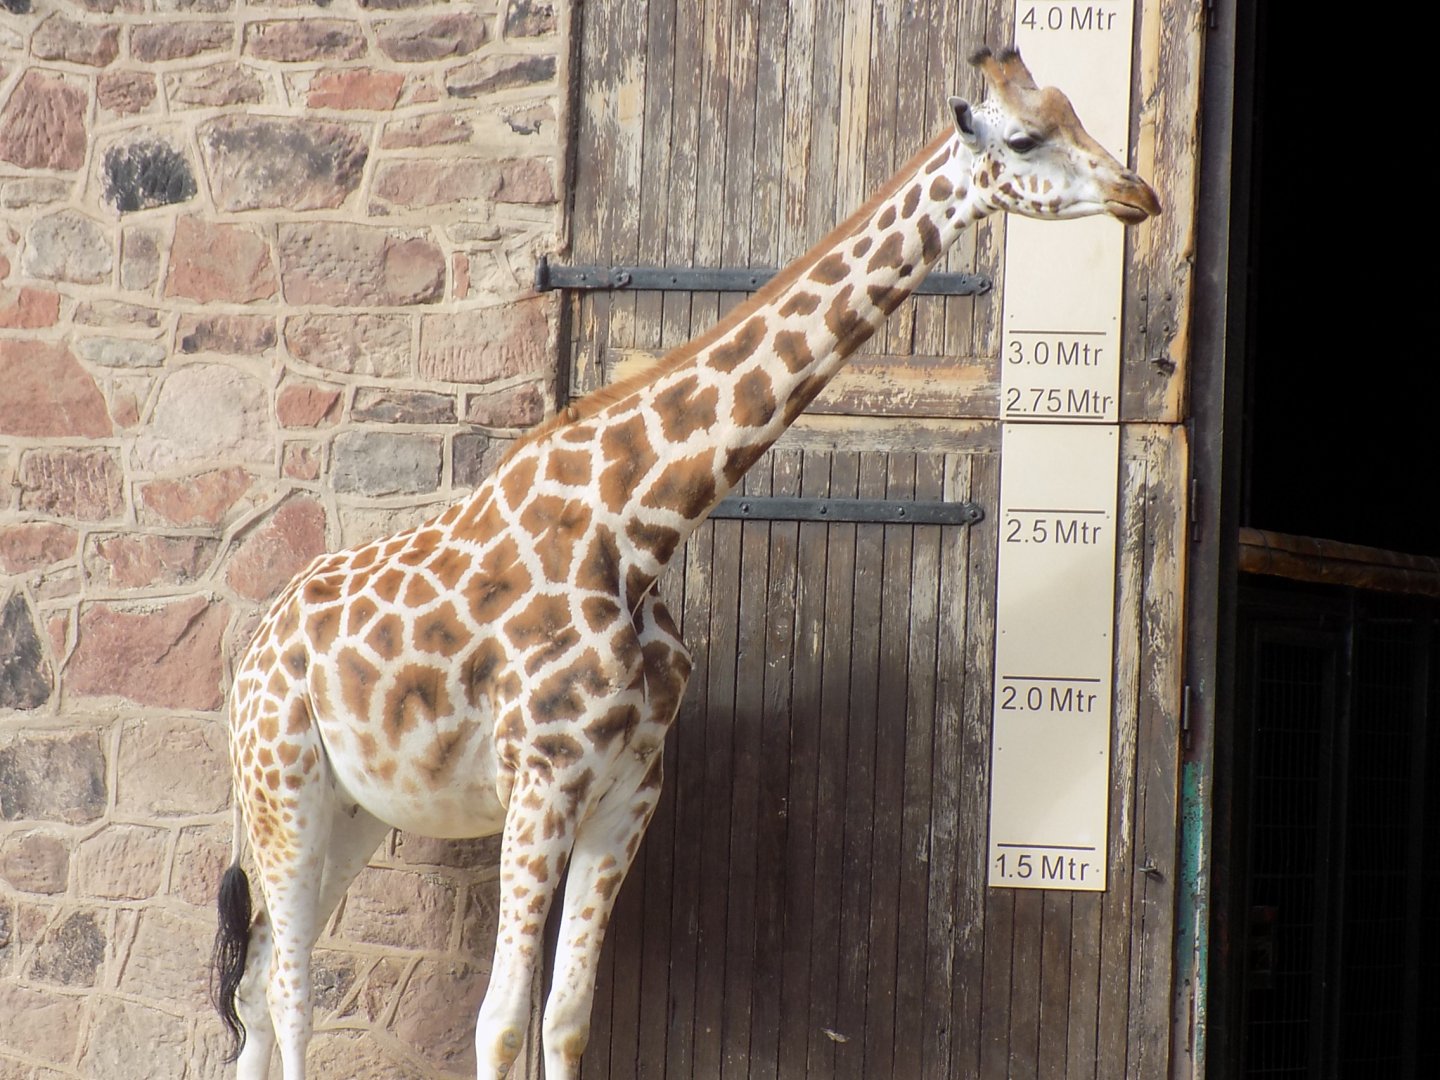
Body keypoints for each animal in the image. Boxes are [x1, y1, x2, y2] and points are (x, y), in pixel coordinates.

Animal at [212, 46, 1159, 1080]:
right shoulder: (542, 778)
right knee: (292, 993)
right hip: (284, 786)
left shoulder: (629, 788)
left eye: (1075, 111)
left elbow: (563, 1018)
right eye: (1024, 139)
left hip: (352, 811)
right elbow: (498, 1023)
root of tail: (250, 658)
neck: (637, 532)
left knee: (255, 985)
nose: (1140, 192)